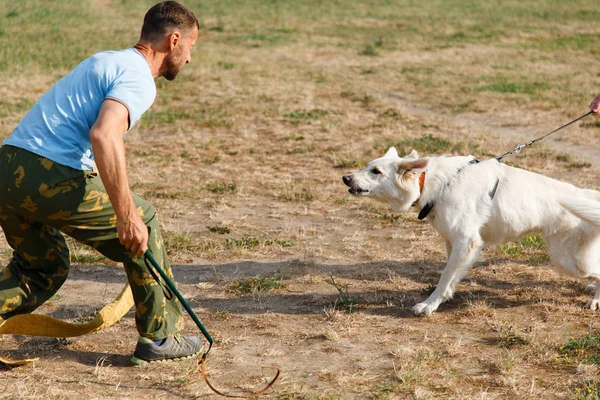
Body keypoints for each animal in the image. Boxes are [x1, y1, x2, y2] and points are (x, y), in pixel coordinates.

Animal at [342, 147, 600, 316]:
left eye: (376, 171)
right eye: (367, 166)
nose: (345, 178)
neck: (434, 183)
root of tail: (588, 195)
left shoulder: (467, 242)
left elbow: (444, 276)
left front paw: (429, 304)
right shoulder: (454, 243)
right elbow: (451, 275)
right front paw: (445, 297)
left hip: (568, 260)